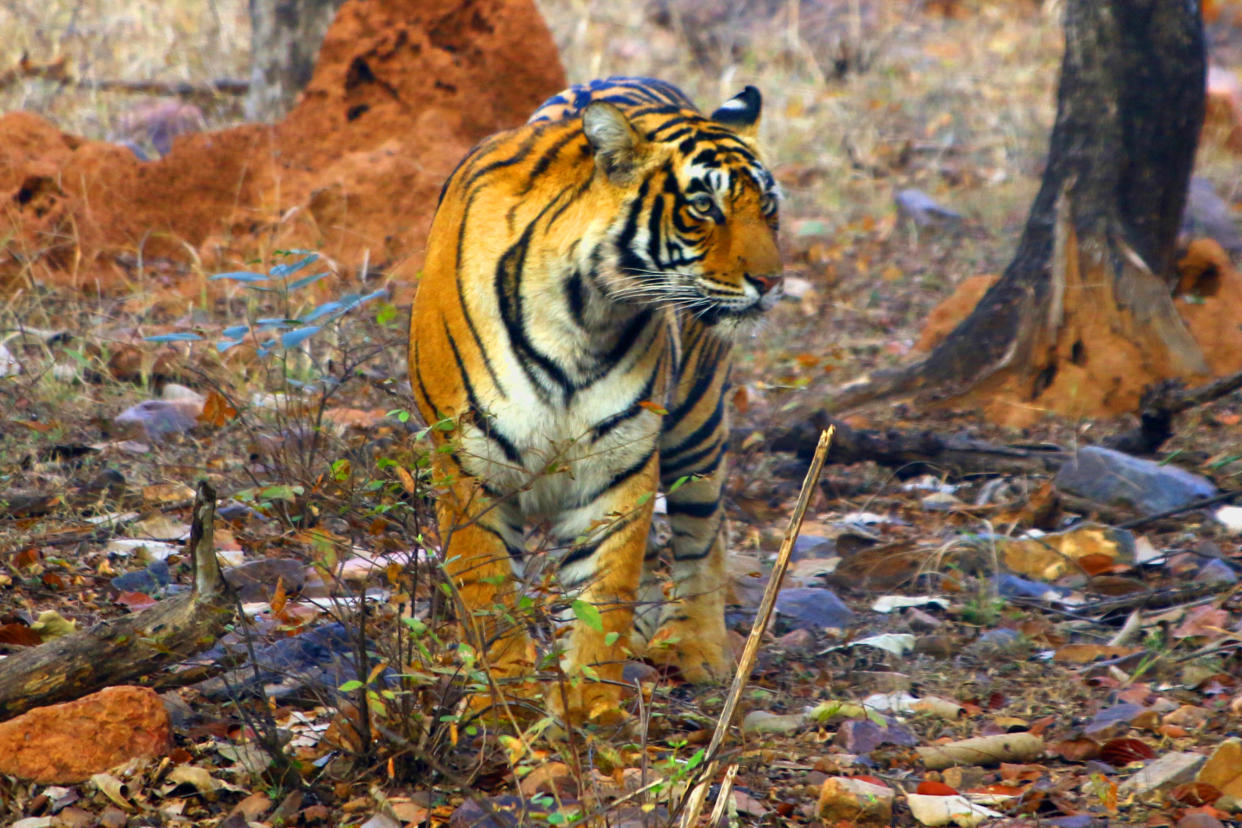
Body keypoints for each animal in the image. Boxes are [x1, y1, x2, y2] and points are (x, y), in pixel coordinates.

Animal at [412, 79, 779, 724]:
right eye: (703, 207)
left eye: (769, 208)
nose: (771, 281)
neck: (583, 312)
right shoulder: (468, 465)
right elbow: (487, 595)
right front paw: (504, 707)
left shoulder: (618, 462)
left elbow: (602, 592)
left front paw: (590, 711)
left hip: (696, 420)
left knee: (704, 534)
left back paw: (696, 646)